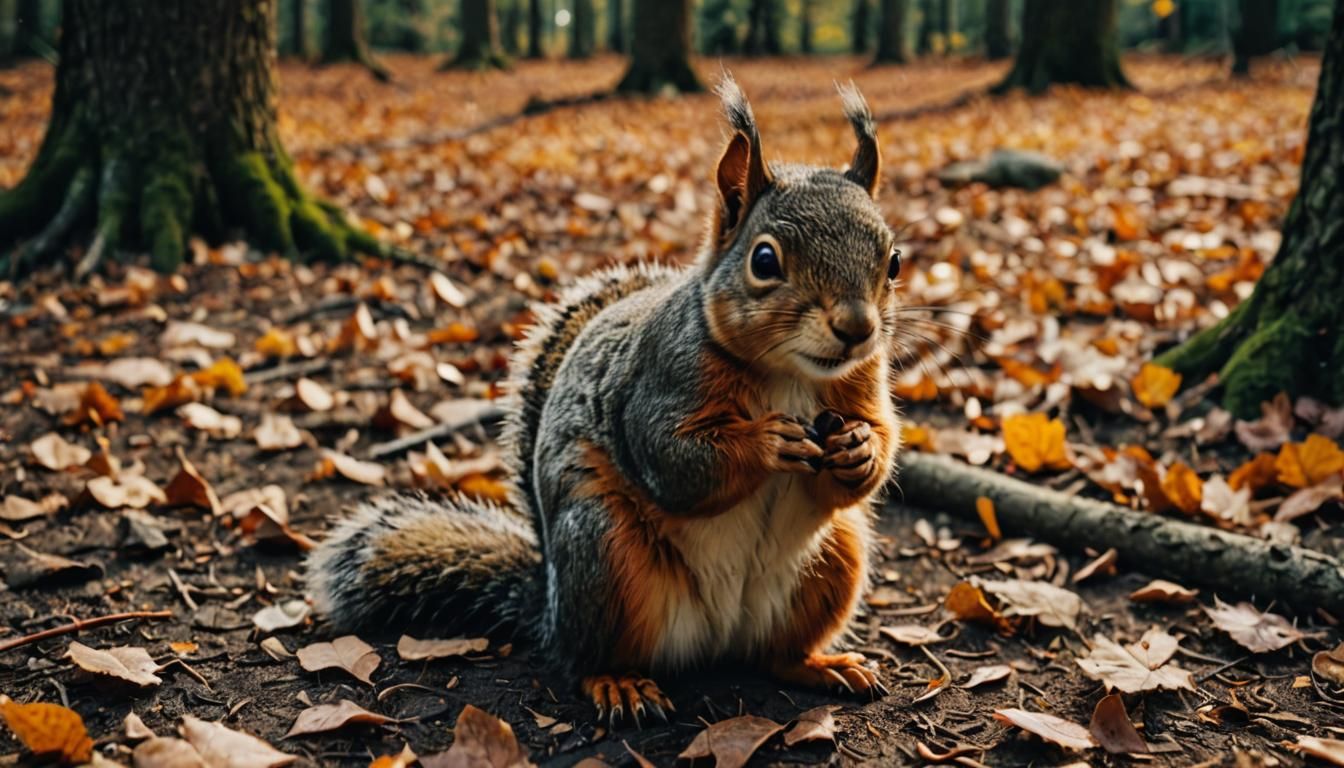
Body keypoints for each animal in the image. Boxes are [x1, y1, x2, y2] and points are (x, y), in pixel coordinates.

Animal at [306, 75, 903, 726]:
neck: (790, 373)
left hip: (836, 558)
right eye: (764, 260)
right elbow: (676, 461)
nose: (857, 328)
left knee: (776, 654)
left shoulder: (860, 383)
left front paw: (860, 450)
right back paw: (619, 683)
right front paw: (767, 441)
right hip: (604, 552)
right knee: (587, 657)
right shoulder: (658, 385)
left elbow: (875, 443)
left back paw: (823, 664)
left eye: (894, 261)